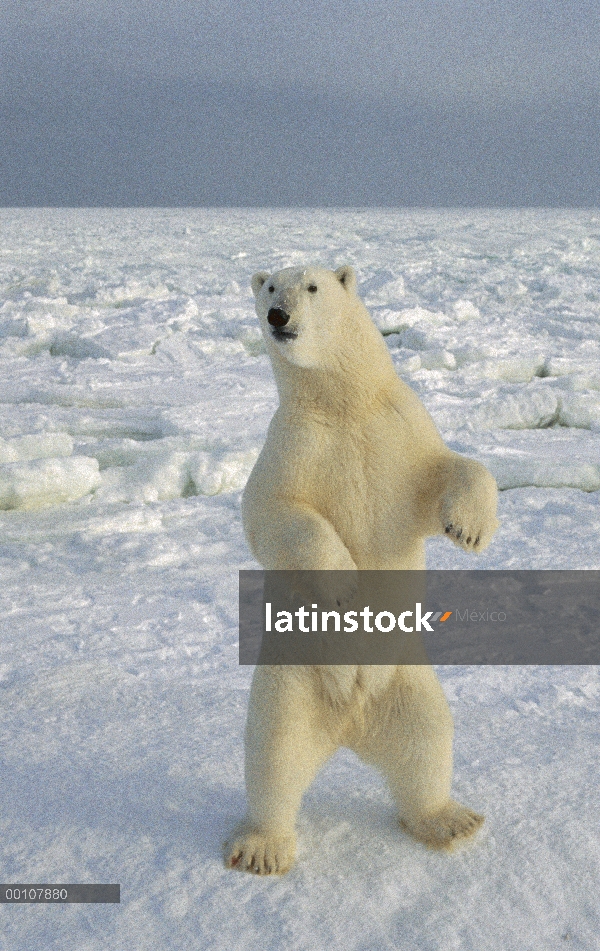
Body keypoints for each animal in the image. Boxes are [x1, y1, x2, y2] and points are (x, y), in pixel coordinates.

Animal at [225, 266, 496, 876]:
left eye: (311, 287)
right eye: (269, 288)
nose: (278, 316)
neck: (342, 404)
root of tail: (348, 725)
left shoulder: (399, 430)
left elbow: (451, 468)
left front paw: (469, 530)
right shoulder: (294, 443)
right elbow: (273, 512)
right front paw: (344, 581)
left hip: (404, 679)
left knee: (426, 738)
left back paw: (450, 820)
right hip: (291, 682)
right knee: (274, 754)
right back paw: (261, 848)